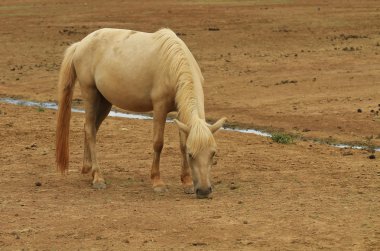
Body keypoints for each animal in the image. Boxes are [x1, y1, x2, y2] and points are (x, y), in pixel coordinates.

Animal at [56, 28, 226, 200]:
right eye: (191, 155)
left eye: (213, 153)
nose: (204, 191)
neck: (173, 64)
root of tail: (80, 44)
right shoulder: (160, 108)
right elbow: (158, 143)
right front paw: (157, 182)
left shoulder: (180, 112)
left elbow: (182, 144)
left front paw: (187, 182)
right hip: (90, 94)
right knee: (90, 130)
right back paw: (98, 177)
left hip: (104, 102)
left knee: (91, 128)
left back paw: (87, 168)